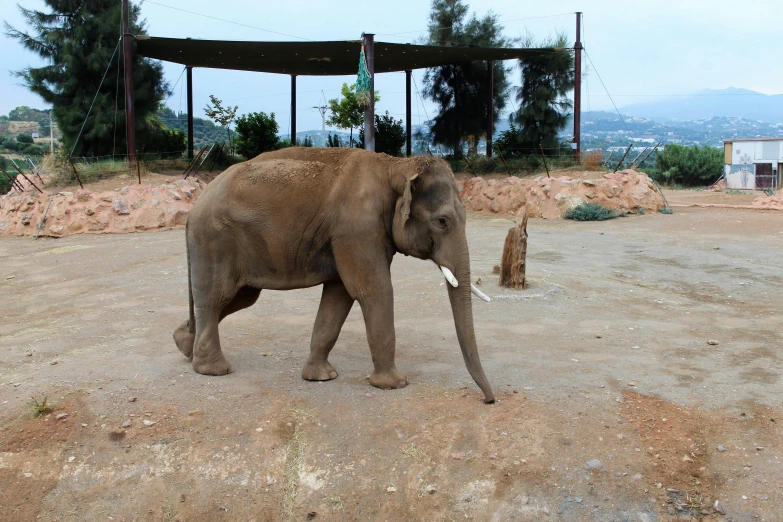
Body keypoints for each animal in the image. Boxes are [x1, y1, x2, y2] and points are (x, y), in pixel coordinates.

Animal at [174, 146, 496, 402]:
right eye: (442, 221)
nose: (488, 400)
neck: (396, 165)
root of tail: (194, 207)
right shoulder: (357, 227)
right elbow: (373, 290)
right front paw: (395, 384)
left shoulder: (350, 235)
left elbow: (338, 296)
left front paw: (321, 377)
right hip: (215, 242)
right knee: (216, 298)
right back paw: (213, 369)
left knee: (238, 298)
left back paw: (184, 345)